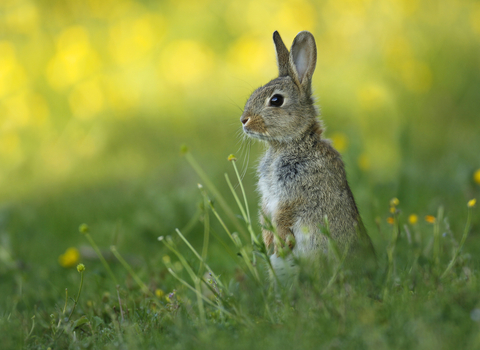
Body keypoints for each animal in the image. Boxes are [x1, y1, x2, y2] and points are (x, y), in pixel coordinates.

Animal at [240, 30, 376, 282]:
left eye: (276, 100)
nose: (244, 120)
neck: (292, 143)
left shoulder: (295, 193)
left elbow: (283, 216)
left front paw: (278, 244)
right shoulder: (268, 197)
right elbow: (265, 214)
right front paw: (268, 242)